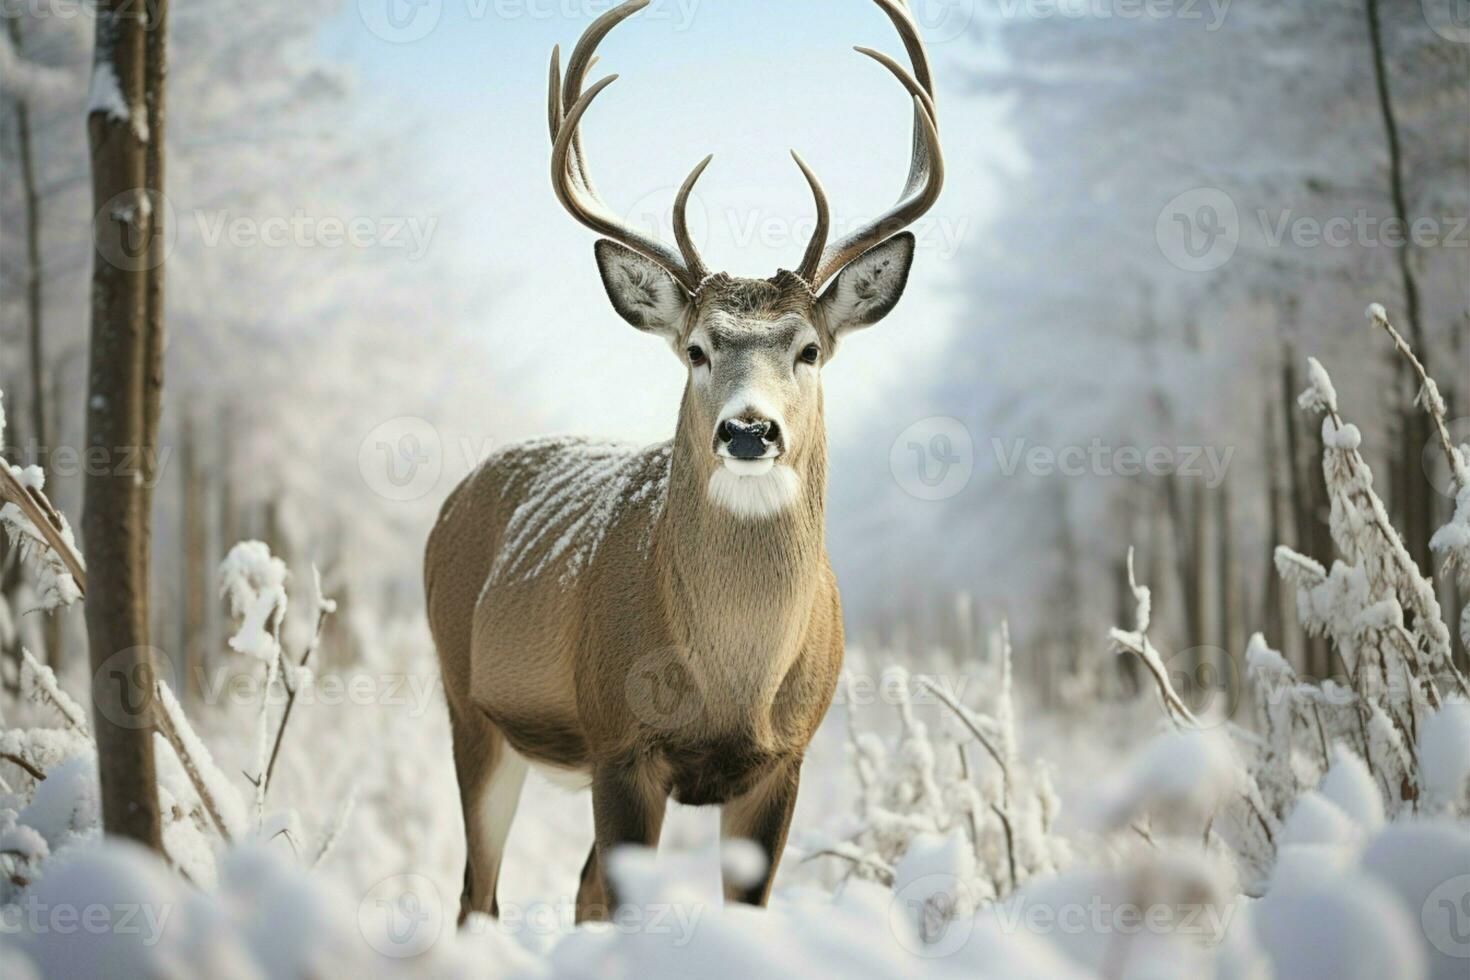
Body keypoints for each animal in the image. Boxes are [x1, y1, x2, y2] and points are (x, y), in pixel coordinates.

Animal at [423, 0, 940, 928]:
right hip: (469, 705)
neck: (732, 684)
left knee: (574, 888)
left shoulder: (784, 759)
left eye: (809, 349)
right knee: (479, 892)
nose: (749, 430)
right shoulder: (622, 742)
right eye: (697, 349)